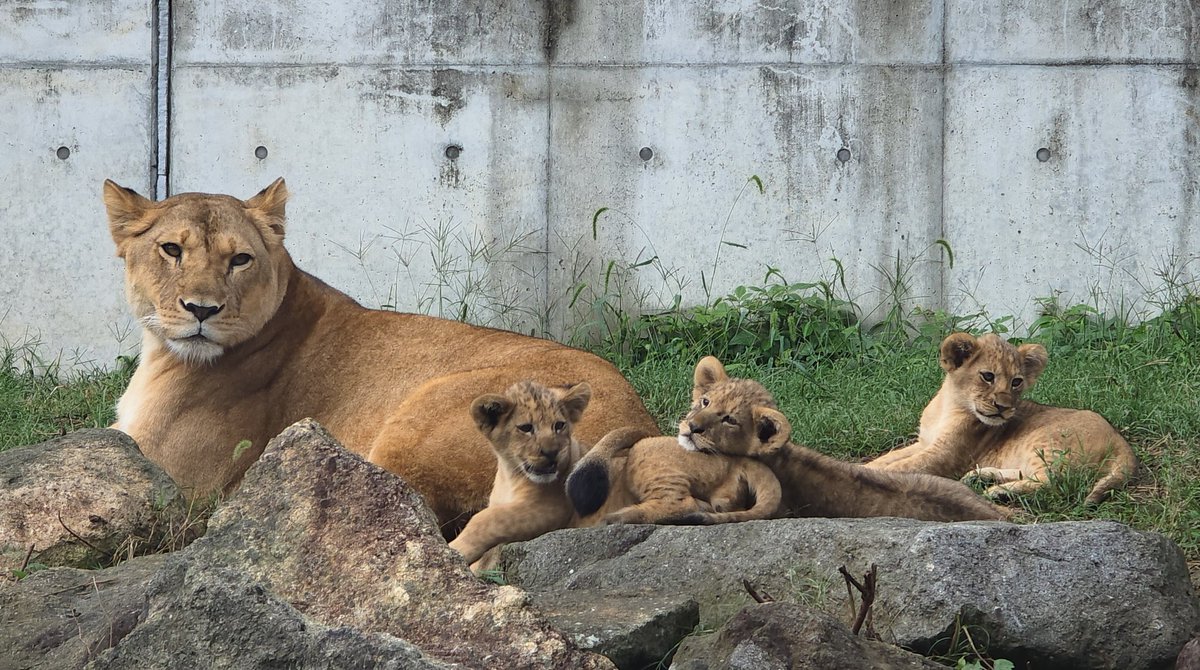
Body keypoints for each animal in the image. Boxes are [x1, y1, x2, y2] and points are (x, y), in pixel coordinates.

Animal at [101, 178, 658, 532]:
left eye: (240, 259)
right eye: (171, 249)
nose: (201, 309)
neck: (161, 353)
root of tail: (641, 423)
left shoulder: (173, 478)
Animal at [447, 380, 591, 572]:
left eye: (559, 425)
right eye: (526, 428)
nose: (551, 452)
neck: (510, 476)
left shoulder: (553, 508)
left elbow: (487, 519)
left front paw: (456, 548)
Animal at [866, 332, 1138, 505]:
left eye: (1016, 381)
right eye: (987, 376)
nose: (1004, 407)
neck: (948, 405)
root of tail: (1119, 440)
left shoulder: (944, 456)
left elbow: (900, 467)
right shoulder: (924, 443)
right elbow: (886, 459)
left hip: (1045, 441)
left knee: (1053, 482)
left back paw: (998, 492)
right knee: (1028, 473)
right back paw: (980, 476)